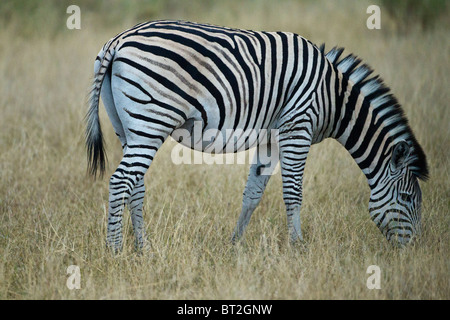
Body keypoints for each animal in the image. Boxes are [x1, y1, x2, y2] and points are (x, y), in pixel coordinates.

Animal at [86, 20, 428, 252]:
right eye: (408, 199)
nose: (412, 252)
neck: (333, 99)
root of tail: (118, 40)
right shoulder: (297, 127)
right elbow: (293, 192)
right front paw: (297, 246)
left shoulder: (271, 138)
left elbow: (252, 193)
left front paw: (234, 244)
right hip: (151, 121)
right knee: (121, 181)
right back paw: (115, 250)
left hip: (128, 127)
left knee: (136, 185)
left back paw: (142, 248)